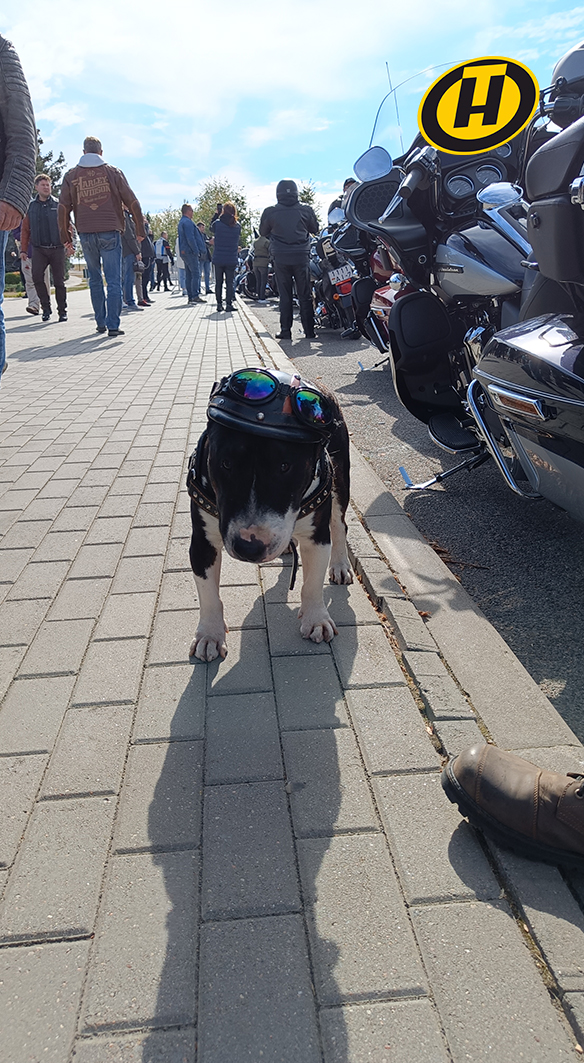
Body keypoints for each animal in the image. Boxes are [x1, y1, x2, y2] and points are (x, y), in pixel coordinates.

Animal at [187, 368, 353, 661]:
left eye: (285, 466)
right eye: (225, 463)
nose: (249, 547)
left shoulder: (317, 537)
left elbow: (312, 582)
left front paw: (316, 619)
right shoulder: (202, 541)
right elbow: (208, 593)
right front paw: (209, 635)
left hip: (340, 483)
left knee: (339, 525)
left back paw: (340, 564)